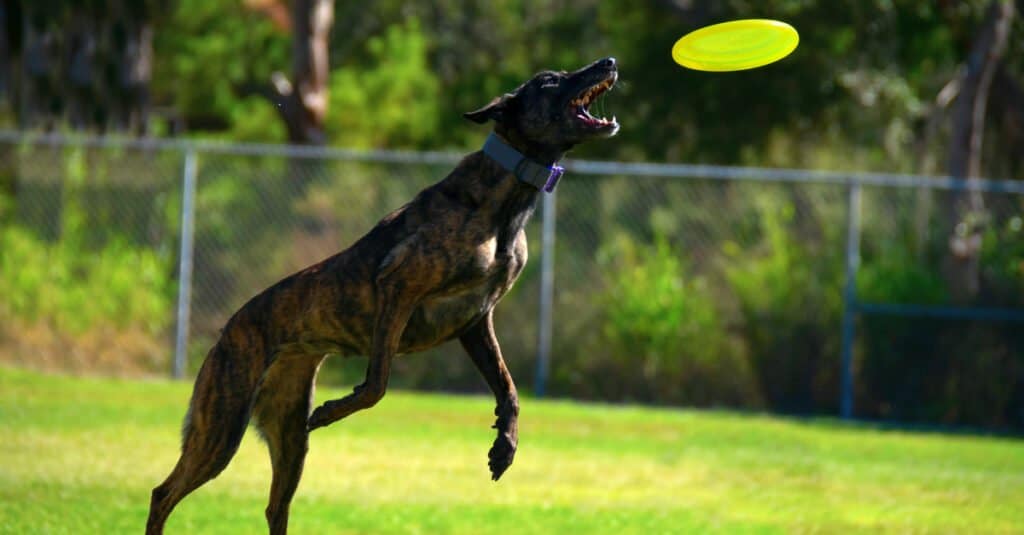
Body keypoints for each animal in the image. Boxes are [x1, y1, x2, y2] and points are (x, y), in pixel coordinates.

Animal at [148, 56, 618, 528]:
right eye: (550, 80)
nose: (608, 62)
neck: (503, 201)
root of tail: (226, 331)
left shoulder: (475, 321)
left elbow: (509, 389)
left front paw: (504, 447)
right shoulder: (399, 287)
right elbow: (377, 384)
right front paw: (334, 409)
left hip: (288, 438)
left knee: (273, 507)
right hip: (221, 427)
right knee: (162, 493)